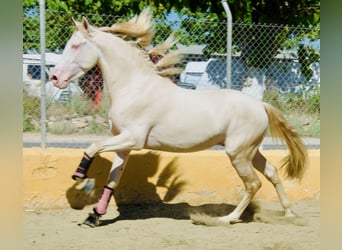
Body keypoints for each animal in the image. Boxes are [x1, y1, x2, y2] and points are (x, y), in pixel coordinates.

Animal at [50, 8, 308, 227]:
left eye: (75, 46)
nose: (55, 77)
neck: (133, 87)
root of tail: (260, 105)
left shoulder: (133, 139)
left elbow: (93, 147)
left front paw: (81, 179)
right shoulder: (123, 145)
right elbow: (112, 180)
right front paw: (94, 216)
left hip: (238, 153)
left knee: (253, 183)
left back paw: (226, 219)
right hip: (249, 151)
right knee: (272, 172)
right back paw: (289, 213)